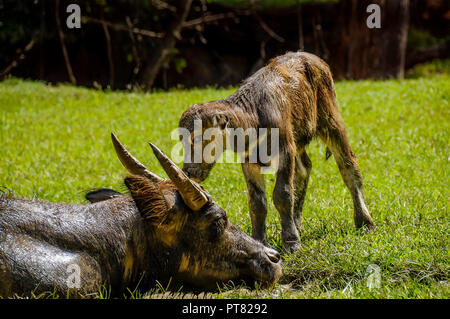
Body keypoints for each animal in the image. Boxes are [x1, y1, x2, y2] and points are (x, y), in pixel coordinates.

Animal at [179, 52, 372, 252]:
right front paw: (259, 241)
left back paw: (364, 222)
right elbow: (257, 202)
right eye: (181, 139)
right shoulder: (250, 161)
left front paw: (291, 243)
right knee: (304, 169)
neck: (254, 116)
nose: (188, 172)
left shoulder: (285, 152)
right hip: (298, 140)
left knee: (349, 167)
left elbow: (282, 194)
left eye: (197, 138)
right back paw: (297, 223)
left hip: (331, 121)